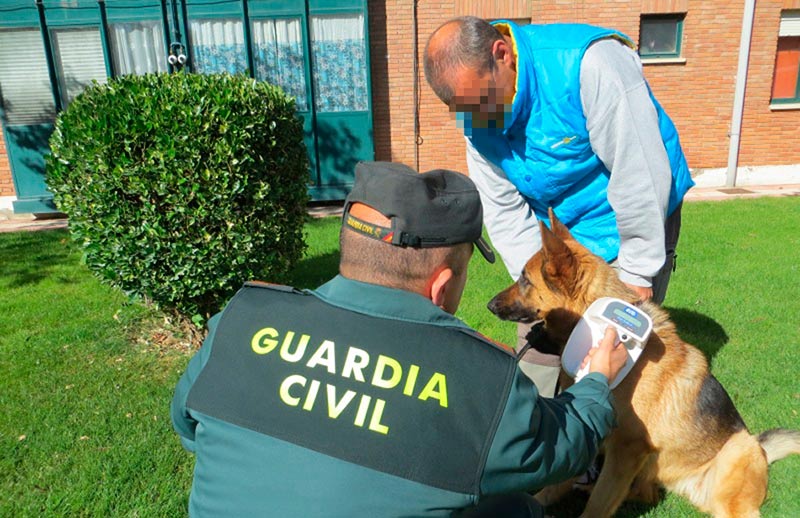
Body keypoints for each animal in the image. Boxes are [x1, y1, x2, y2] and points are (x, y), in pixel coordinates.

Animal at [488, 209, 800, 516]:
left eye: (525, 280)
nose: (489, 305)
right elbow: (559, 482)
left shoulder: (626, 450)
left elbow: (598, 504)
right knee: (645, 494)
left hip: (731, 464)